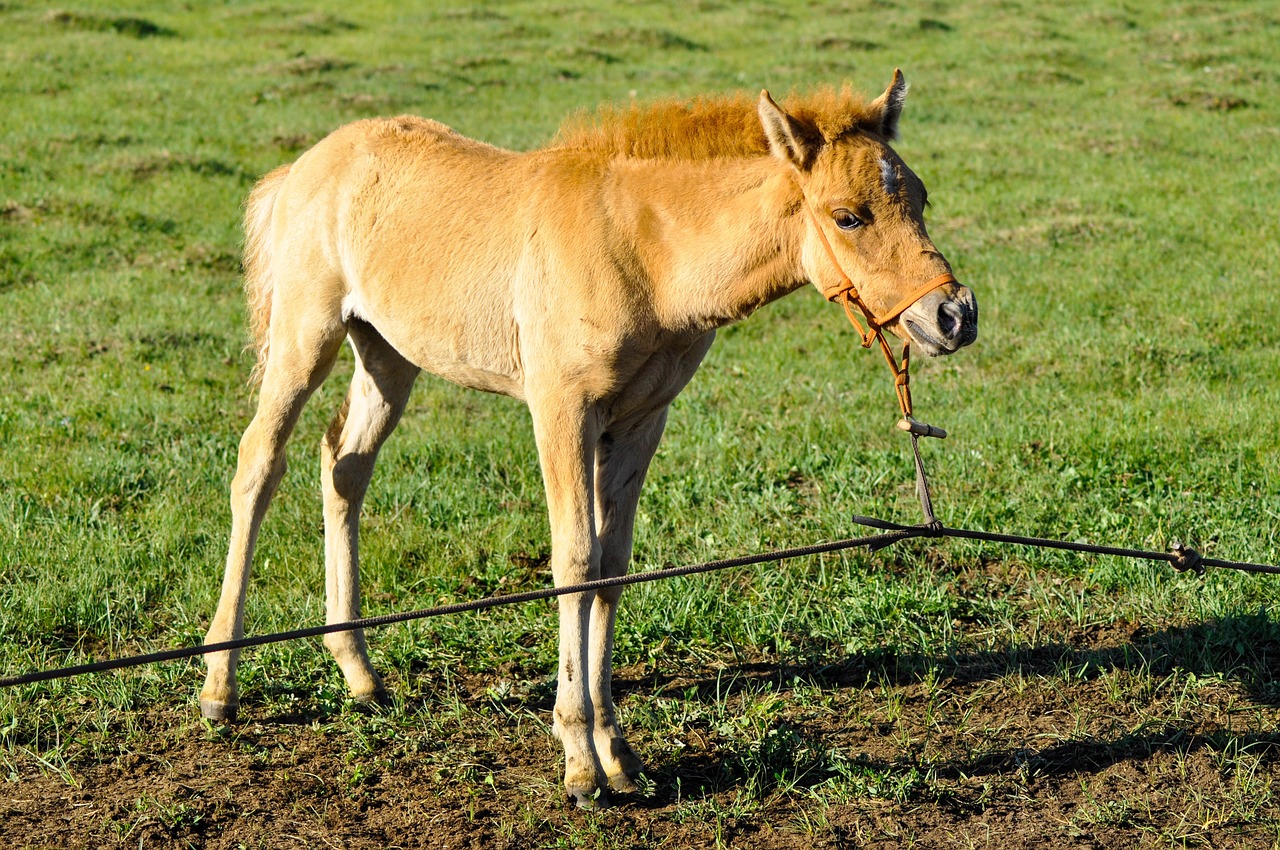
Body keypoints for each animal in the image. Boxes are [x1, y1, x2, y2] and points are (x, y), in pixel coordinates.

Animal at [199, 71, 977, 803]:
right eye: (848, 216)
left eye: (920, 198)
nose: (954, 315)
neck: (640, 248)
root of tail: (304, 165)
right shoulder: (561, 411)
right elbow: (574, 561)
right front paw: (578, 760)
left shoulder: (639, 421)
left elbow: (612, 566)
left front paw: (618, 754)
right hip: (306, 337)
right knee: (258, 465)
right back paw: (219, 683)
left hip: (388, 356)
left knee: (345, 467)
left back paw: (359, 671)